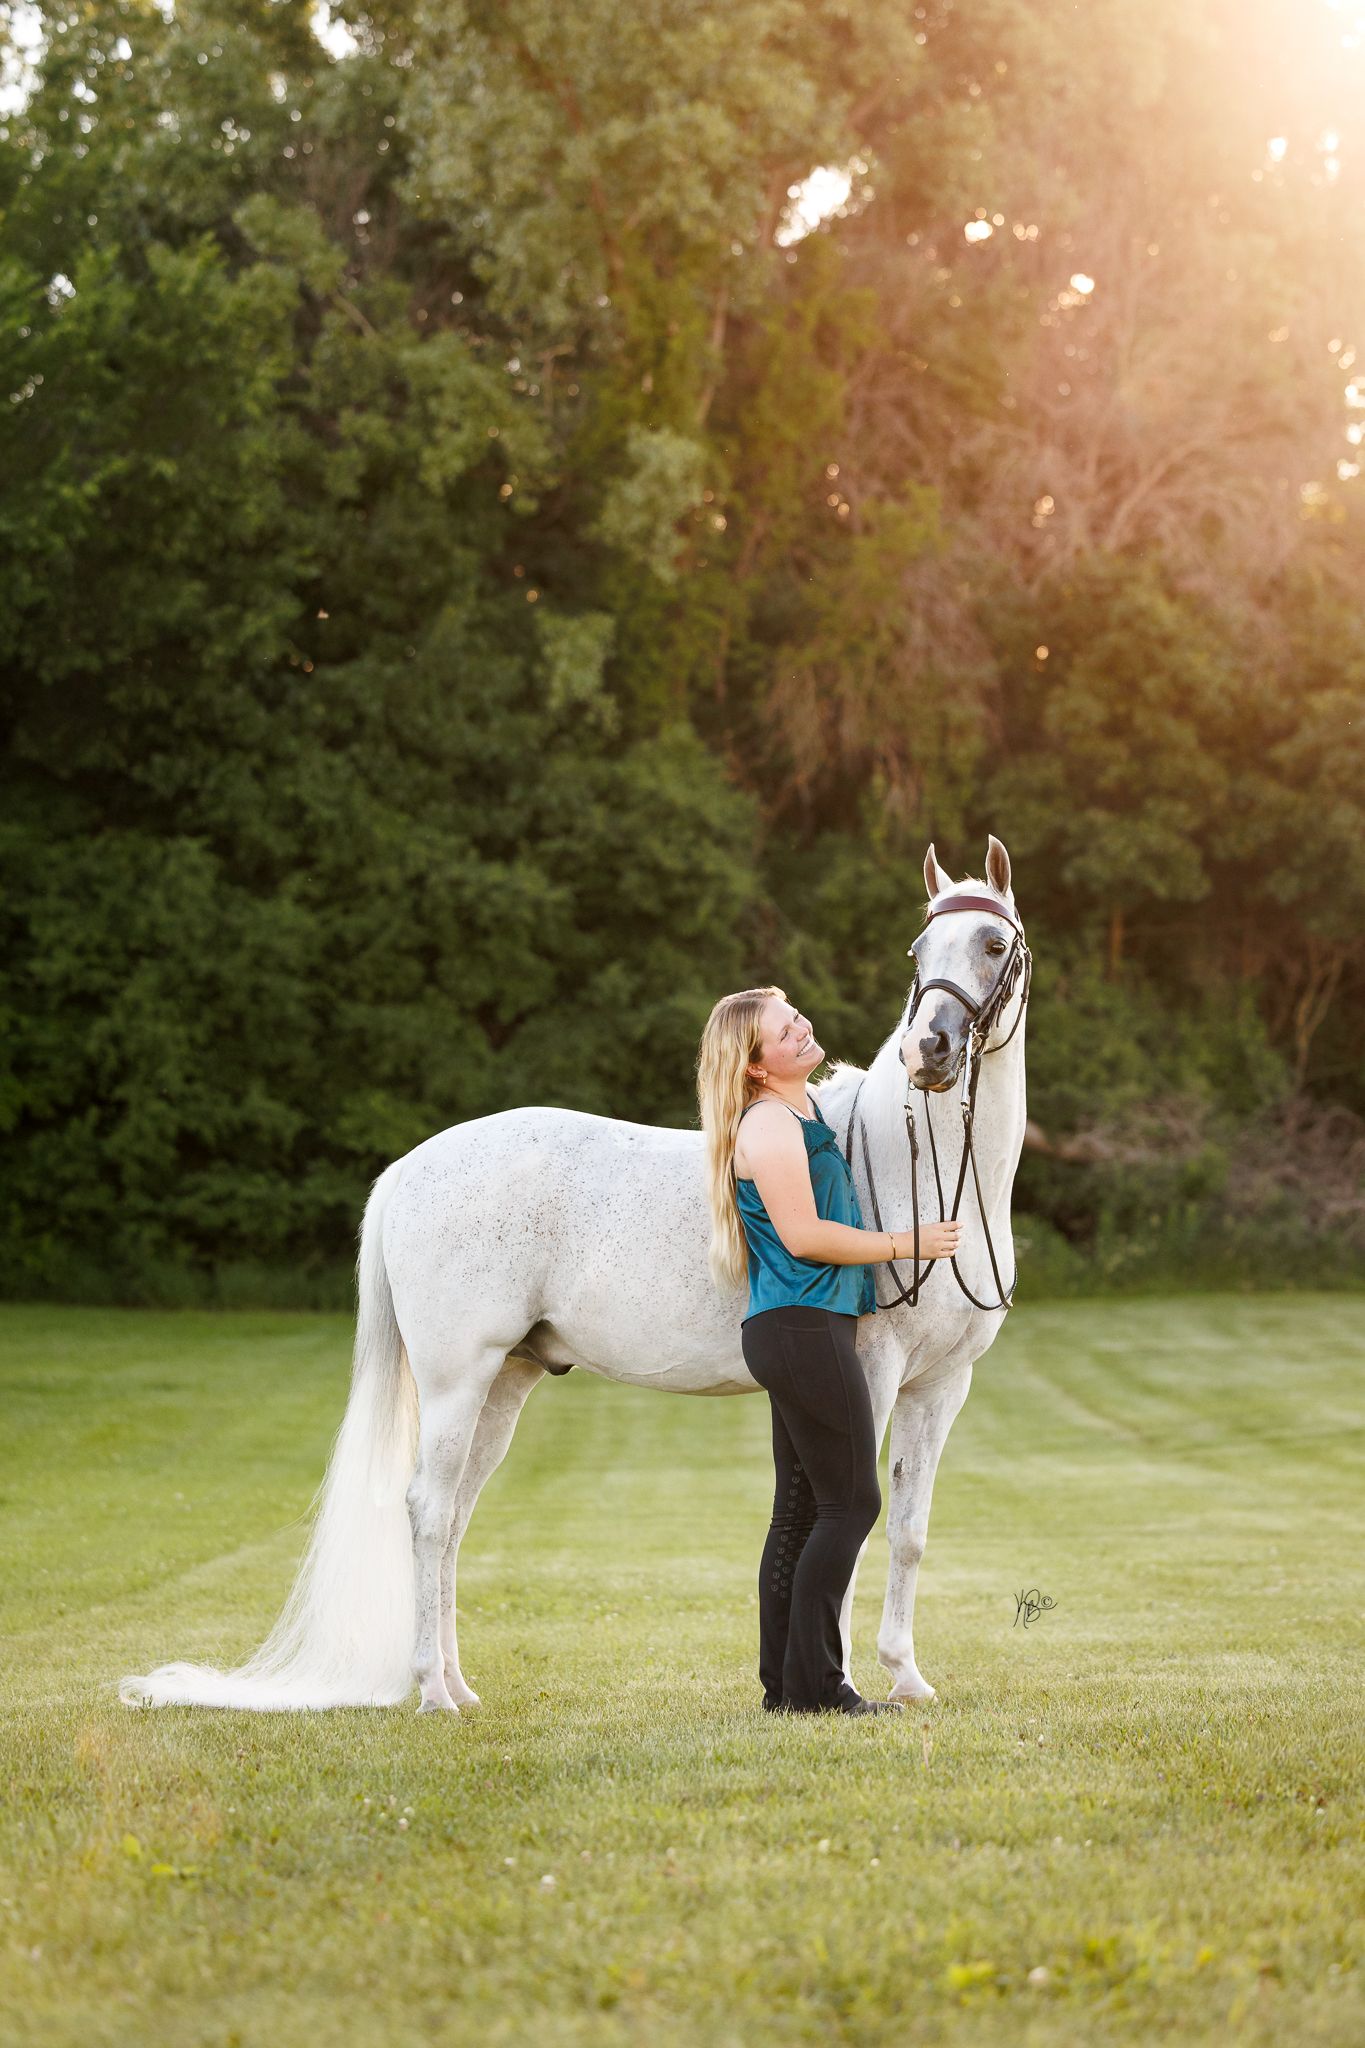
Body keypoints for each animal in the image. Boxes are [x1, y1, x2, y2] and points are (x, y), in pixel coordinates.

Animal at [120, 835, 1030, 1713]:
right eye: (917, 951)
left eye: (992, 945)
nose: (928, 1051)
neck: (925, 1171)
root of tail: (410, 1168)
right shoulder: (868, 1373)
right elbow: (849, 1522)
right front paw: (840, 1680)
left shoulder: (940, 1385)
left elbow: (906, 1530)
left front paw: (905, 1678)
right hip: (456, 1379)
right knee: (426, 1512)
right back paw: (430, 1693)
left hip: (504, 1383)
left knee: (454, 1518)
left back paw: (458, 1686)